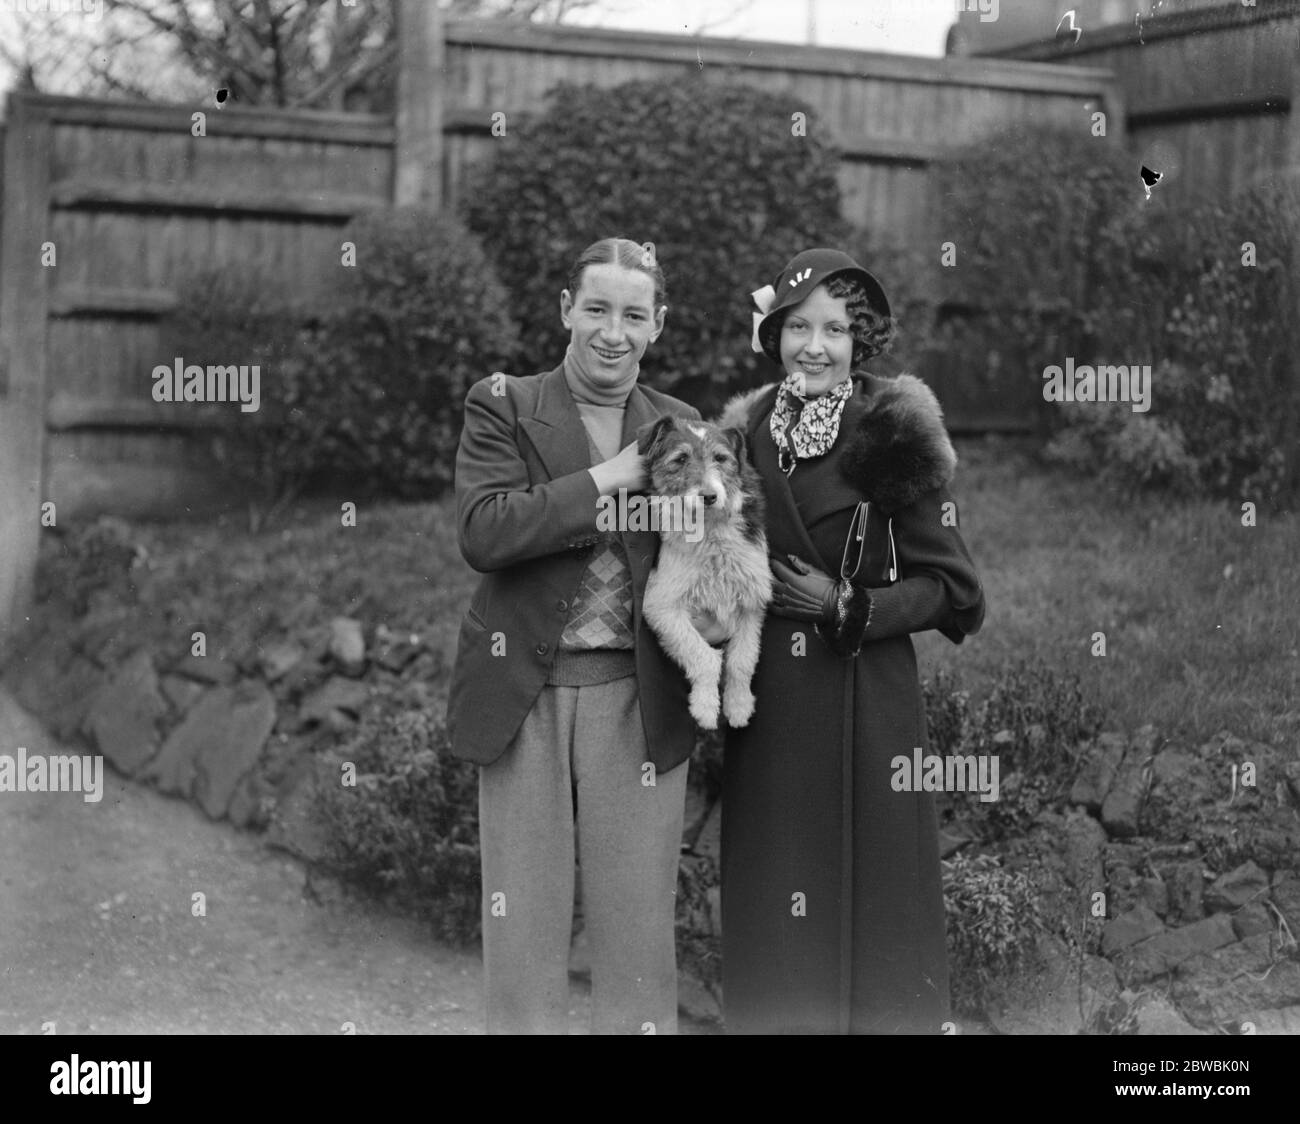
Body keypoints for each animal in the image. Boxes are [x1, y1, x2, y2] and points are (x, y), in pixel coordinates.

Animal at [637, 413, 769, 727]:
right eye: (681, 459)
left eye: (721, 458)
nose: (709, 496)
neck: (709, 532)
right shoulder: (661, 605)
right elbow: (703, 657)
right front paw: (706, 707)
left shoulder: (752, 600)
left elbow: (742, 661)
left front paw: (738, 704)